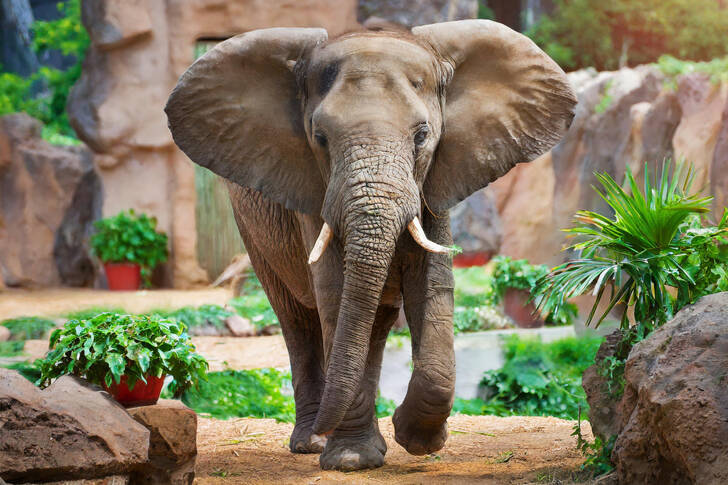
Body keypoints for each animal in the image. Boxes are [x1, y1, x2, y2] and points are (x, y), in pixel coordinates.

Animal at [168, 18, 576, 468]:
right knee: (298, 321)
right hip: (251, 229)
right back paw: (313, 443)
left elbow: (430, 285)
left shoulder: (435, 180)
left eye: (422, 136)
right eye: (320, 138)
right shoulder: (312, 187)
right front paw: (351, 461)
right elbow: (333, 290)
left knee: (374, 322)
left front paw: (416, 440)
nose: (323, 430)